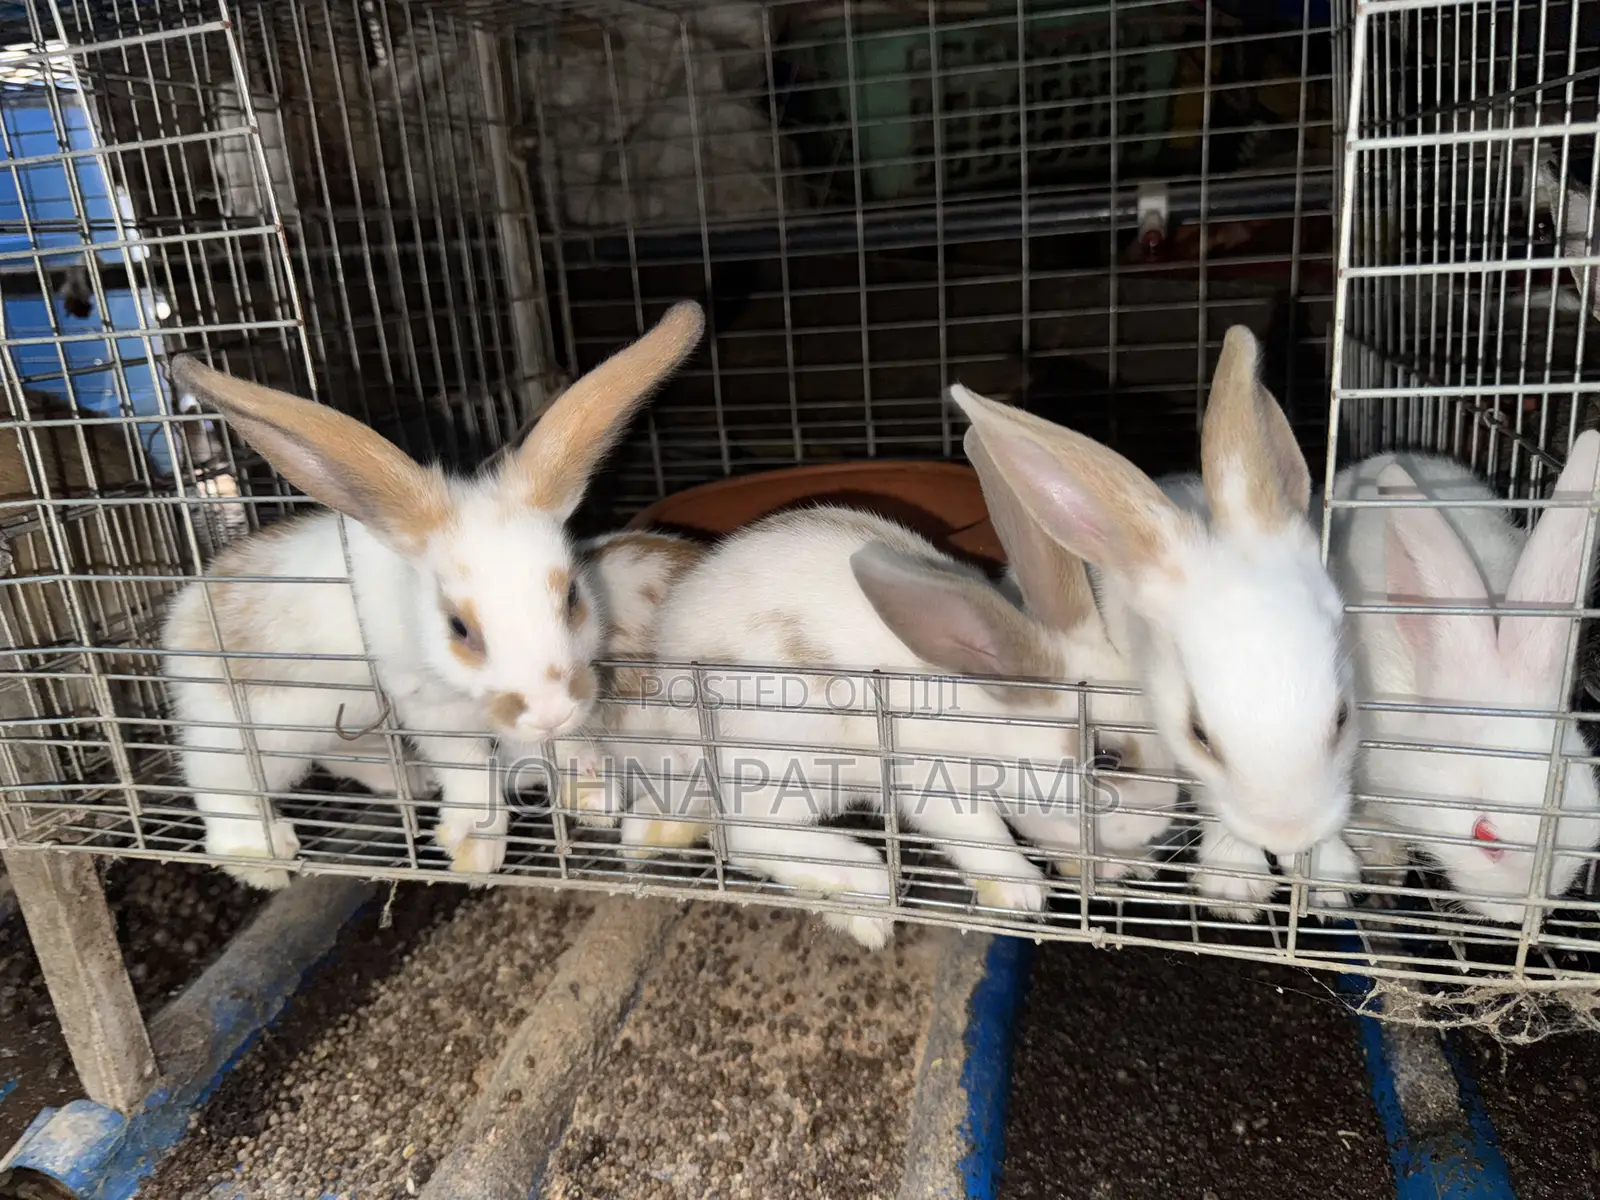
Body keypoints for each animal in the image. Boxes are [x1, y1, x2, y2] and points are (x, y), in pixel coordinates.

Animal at [158, 301, 704, 890]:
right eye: (458, 628)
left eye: (572, 598)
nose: (551, 709)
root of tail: (182, 615)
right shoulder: (428, 706)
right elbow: (467, 767)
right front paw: (475, 850)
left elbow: (565, 745)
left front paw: (594, 796)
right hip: (249, 727)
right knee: (218, 779)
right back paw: (261, 858)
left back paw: (405, 783)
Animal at [604, 505, 1170, 950]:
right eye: (1107, 758)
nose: (1158, 828)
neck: (990, 713)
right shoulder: (932, 783)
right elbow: (981, 835)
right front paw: (1023, 891)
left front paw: (1122, 866)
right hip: (797, 763)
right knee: (745, 835)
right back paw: (867, 882)